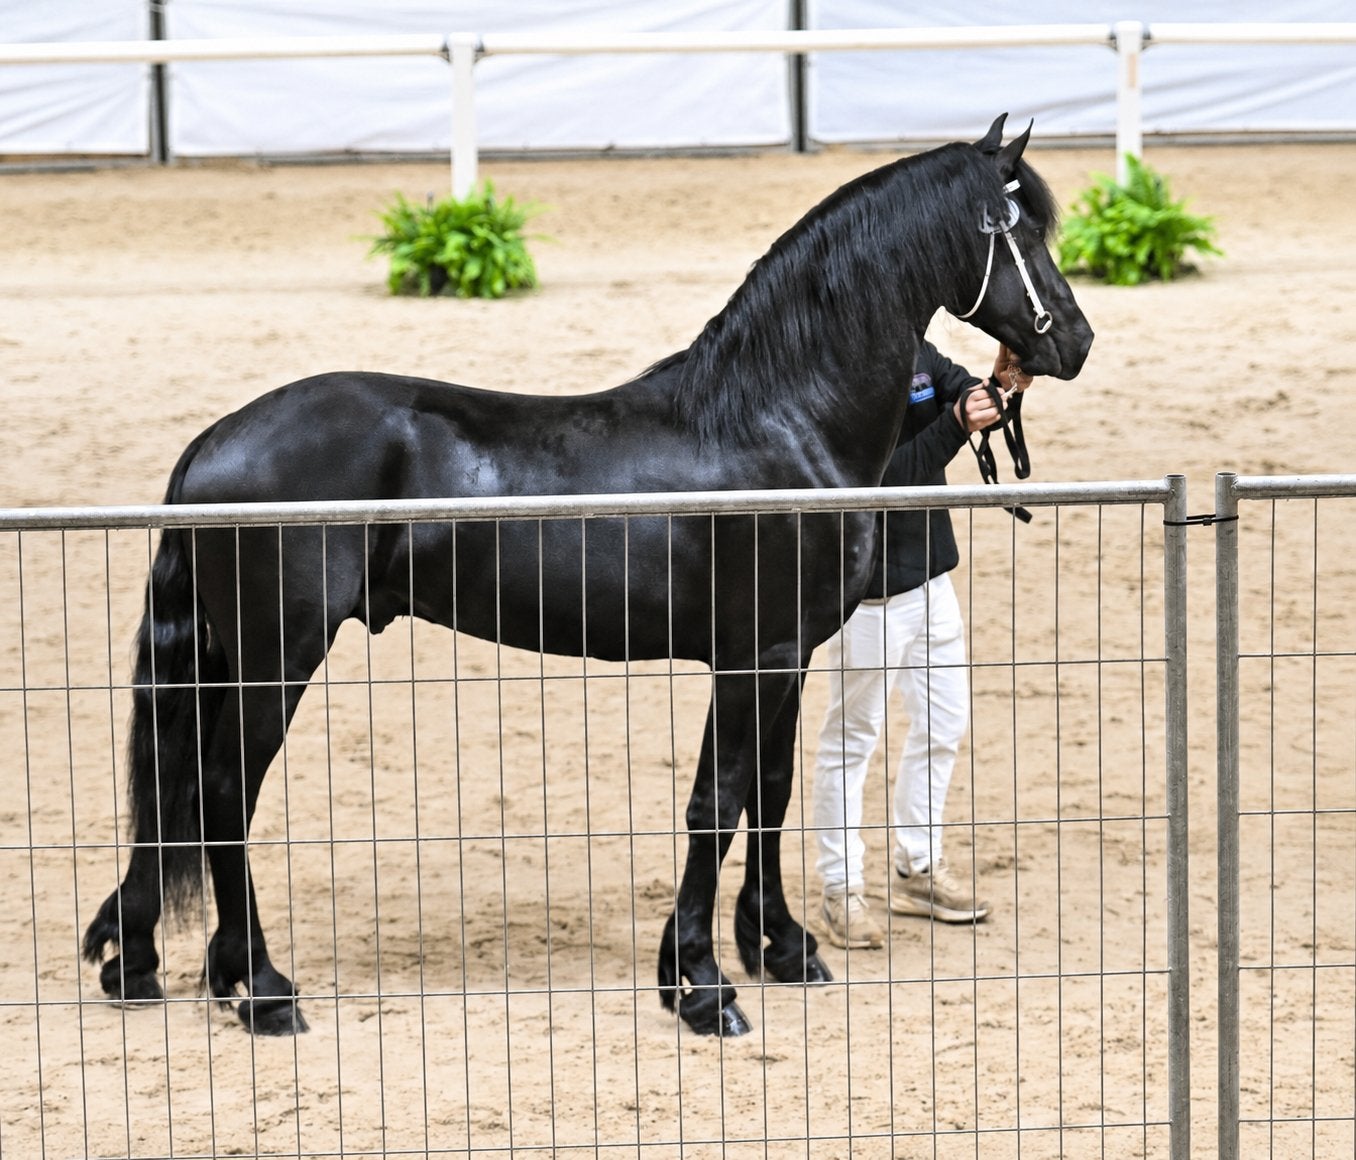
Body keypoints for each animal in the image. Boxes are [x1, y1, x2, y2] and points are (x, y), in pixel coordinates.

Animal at [82, 115, 1092, 1039]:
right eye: (1020, 227)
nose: (1074, 340)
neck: (778, 419)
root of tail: (215, 440)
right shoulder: (752, 657)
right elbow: (717, 803)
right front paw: (700, 987)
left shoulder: (787, 654)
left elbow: (769, 794)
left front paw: (779, 948)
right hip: (275, 658)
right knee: (221, 792)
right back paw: (261, 989)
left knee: (189, 791)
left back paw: (167, 965)